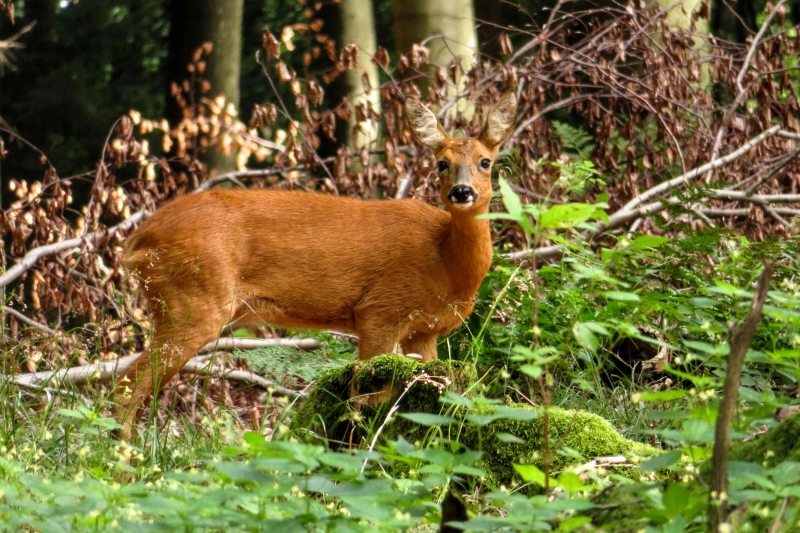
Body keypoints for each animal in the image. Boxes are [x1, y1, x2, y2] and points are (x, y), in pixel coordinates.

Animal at [115, 92, 520, 440]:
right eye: (442, 163)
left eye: (485, 161)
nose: (462, 192)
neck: (446, 263)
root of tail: (135, 241)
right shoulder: (379, 311)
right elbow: (365, 398)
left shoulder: (424, 331)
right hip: (191, 298)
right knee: (127, 385)